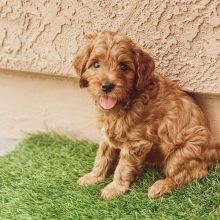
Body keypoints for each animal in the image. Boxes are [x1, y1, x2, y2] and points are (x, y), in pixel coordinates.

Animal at [73, 31, 219, 199]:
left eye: (123, 66)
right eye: (96, 64)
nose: (107, 86)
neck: (128, 100)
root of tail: (215, 152)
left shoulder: (137, 142)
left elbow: (123, 167)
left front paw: (114, 188)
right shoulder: (107, 134)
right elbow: (102, 155)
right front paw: (94, 176)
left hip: (181, 154)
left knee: (194, 172)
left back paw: (160, 186)